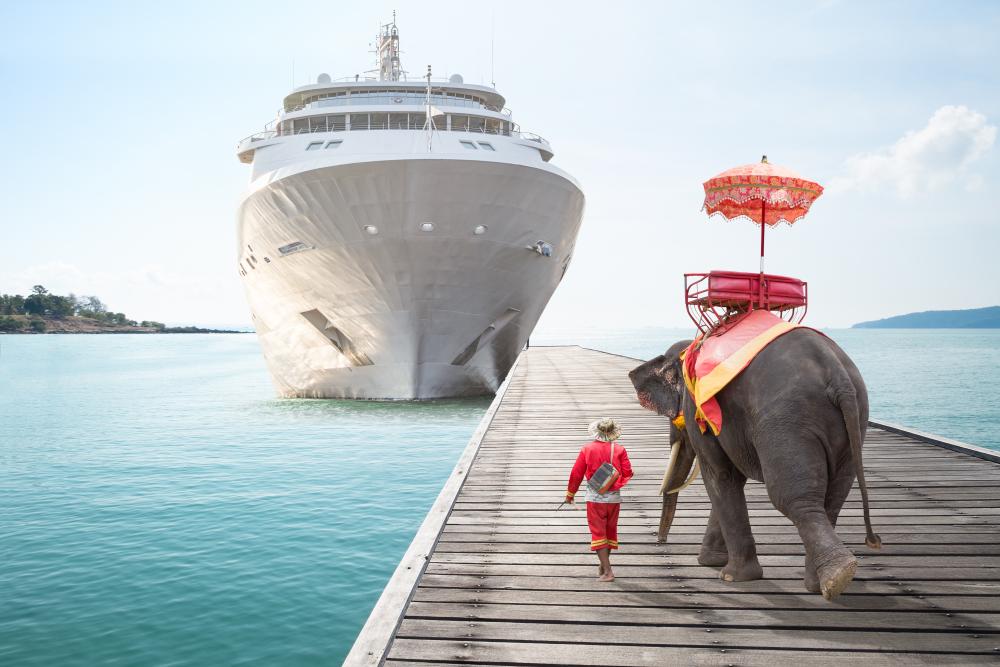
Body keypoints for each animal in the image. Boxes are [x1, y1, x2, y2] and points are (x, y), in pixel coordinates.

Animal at [629, 330, 881, 600]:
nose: (660, 542)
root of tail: (838, 377)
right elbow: (732, 478)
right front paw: (712, 562)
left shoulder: (697, 407)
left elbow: (720, 475)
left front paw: (730, 575)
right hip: (852, 425)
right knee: (832, 498)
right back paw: (821, 583)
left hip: (786, 423)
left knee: (794, 499)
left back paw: (837, 576)